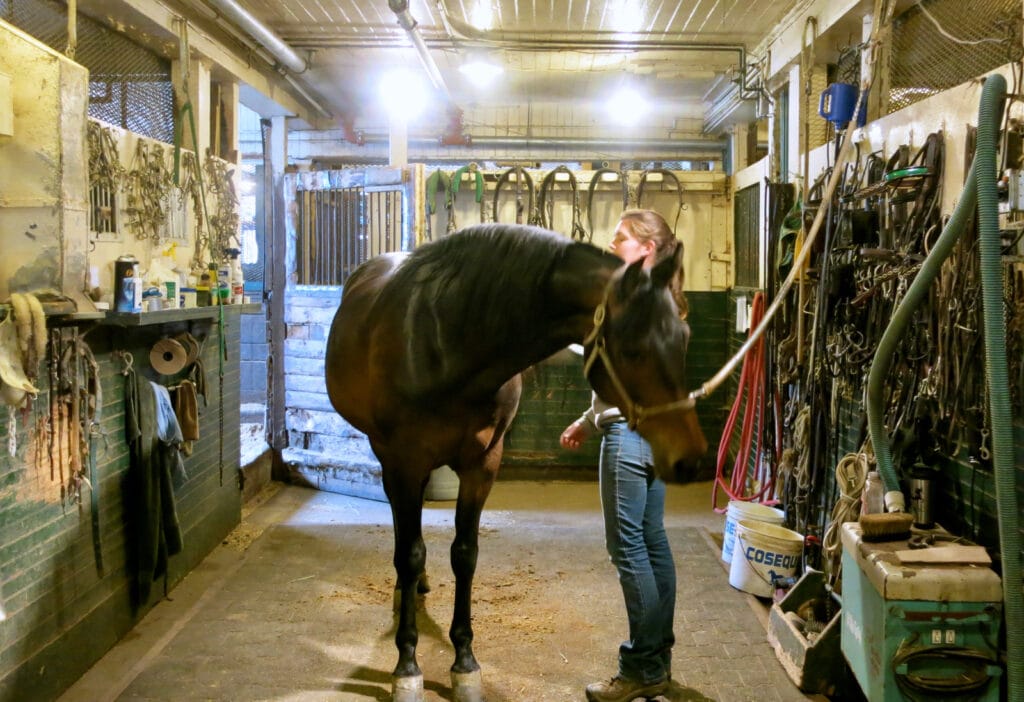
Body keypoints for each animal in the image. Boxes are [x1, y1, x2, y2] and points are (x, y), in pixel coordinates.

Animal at [323, 225, 708, 702]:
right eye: (634, 349)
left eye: (684, 339)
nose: (690, 459)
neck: (444, 344)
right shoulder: (403, 462)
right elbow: (409, 553)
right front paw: (407, 666)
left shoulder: (483, 465)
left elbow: (464, 554)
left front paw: (465, 663)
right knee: (404, 541)